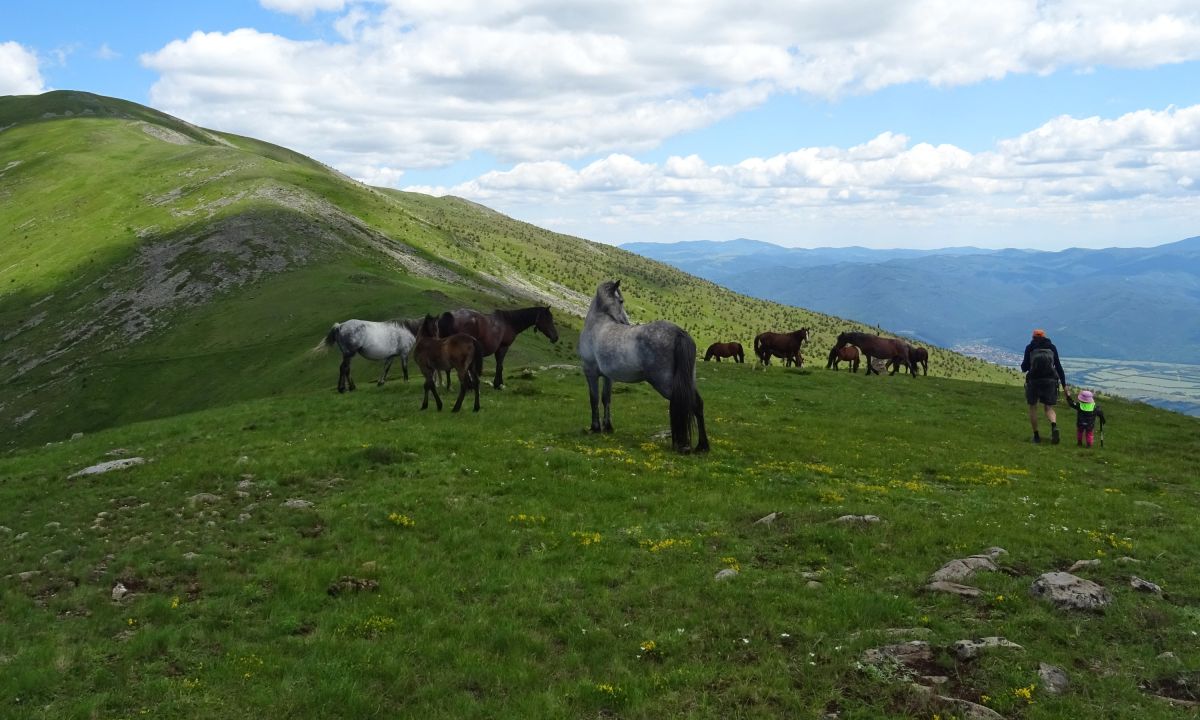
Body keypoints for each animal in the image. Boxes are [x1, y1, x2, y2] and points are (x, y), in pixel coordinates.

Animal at [576, 279, 705, 453]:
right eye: (621, 301)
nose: (626, 322)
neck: (598, 325)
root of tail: (679, 332)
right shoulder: (608, 377)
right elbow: (606, 399)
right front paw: (608, 427)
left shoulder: (590, 373)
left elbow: (594, 399)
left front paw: (595, 428)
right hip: (688, 380)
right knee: (697, 404)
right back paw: (702, 446)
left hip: (666, 384)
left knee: (687, 403)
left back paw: (685, 445)